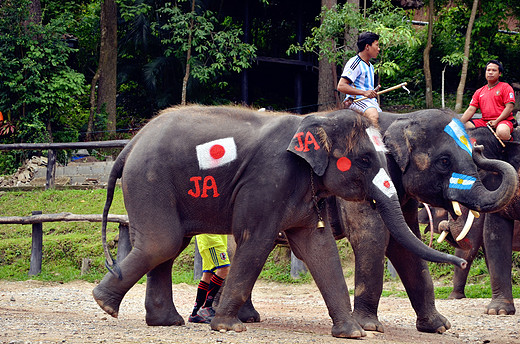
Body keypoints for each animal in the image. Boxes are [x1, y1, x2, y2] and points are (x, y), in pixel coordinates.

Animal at [91, 105, 466, 338]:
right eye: (363, 160)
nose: (461, 260)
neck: (316, 120)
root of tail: (130, 144)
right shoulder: (268, 178)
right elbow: (257, 239)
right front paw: (228, 328)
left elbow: (319, 247)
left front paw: (352, 333)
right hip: (149, 181)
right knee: (163, 242)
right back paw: (104, 304)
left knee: (168, 246)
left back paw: (165, 322)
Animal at [322, 109, 516, 334]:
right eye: (444, 161)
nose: (480, 149)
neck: (401, 117)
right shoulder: (361, 181)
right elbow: (372, 238)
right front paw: (369, 326)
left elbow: (405, 245)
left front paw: (438, 327)